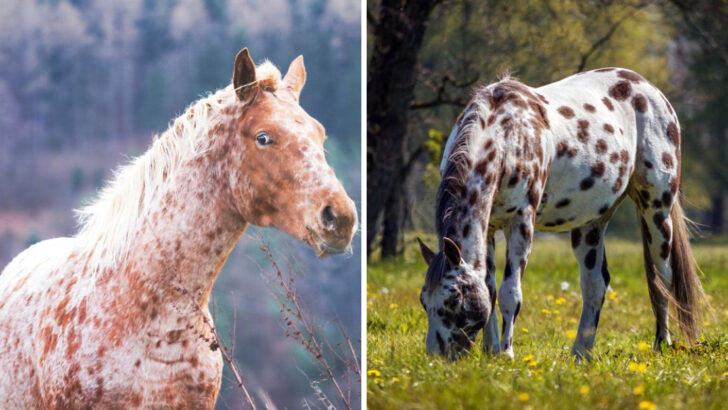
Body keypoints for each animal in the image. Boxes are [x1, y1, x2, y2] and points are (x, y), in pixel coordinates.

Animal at [416, 67, 706, 361]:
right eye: (423, 300)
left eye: (454, 299)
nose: (436, 357)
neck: (507, 136)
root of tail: (650, 89)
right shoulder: (488, 229)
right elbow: (490, 289)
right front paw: (491, 351)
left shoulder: (521, 223)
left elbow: (511, 294)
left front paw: (506, 354)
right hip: (591, 225)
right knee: (595, 286)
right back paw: (581, 354)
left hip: (657, 211)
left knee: (661, 278)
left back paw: (662, 344)